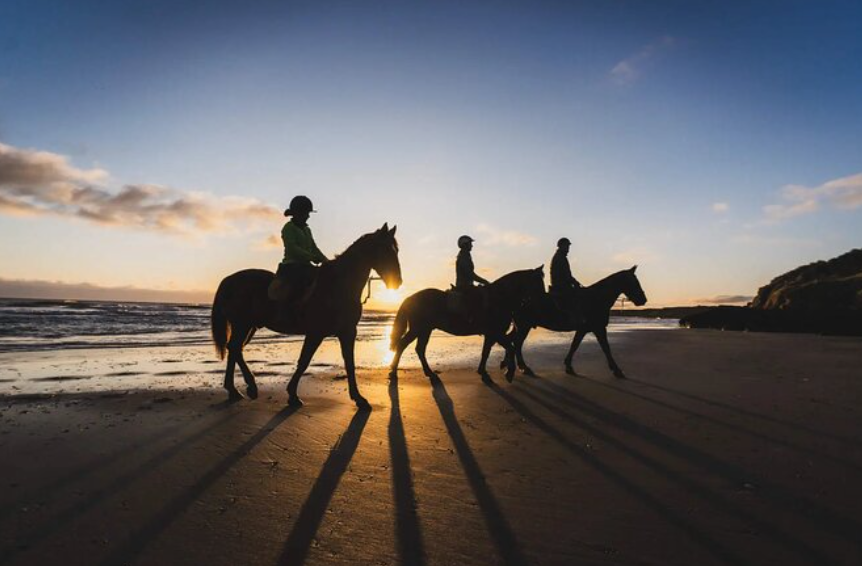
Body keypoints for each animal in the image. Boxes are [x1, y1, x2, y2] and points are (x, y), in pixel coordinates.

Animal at [214, 224, 406, 410]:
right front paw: (292, 395)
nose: (397, 281)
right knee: (234, 348)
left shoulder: (348, 332)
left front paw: (359, 399)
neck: (338, 285)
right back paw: (250, 387)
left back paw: (234, 390)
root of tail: (229, 280)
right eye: (385, 250)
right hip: (242, 324)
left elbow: (349, 364)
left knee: (234, 349)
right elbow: (304, 361)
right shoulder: (316, 332)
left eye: (396, 250)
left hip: (248, 326)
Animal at [392, 268, 548, 384]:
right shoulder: (496, 333)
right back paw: (394, 371)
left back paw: (428, 372)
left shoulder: (491, 334)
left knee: (419, 349)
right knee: (403, 345)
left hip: (425, 330)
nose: (543, 303)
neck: (499, 298)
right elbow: (510, 347)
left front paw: (483, 371)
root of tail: (410, 298)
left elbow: (486, 352)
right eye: (538, 283)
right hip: (418, 329)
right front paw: (509, 372)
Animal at [506, 266, 648, 382]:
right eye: (634, 282)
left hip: (520, 326)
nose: (643, 299)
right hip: (524, 326)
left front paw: (568, 366)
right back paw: (524, 367)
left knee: (511, 341)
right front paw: (617, 370)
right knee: (517, 343)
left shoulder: (583, 330)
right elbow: (606, 348)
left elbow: (575, 345)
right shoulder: (598, 328)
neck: (596, 298)